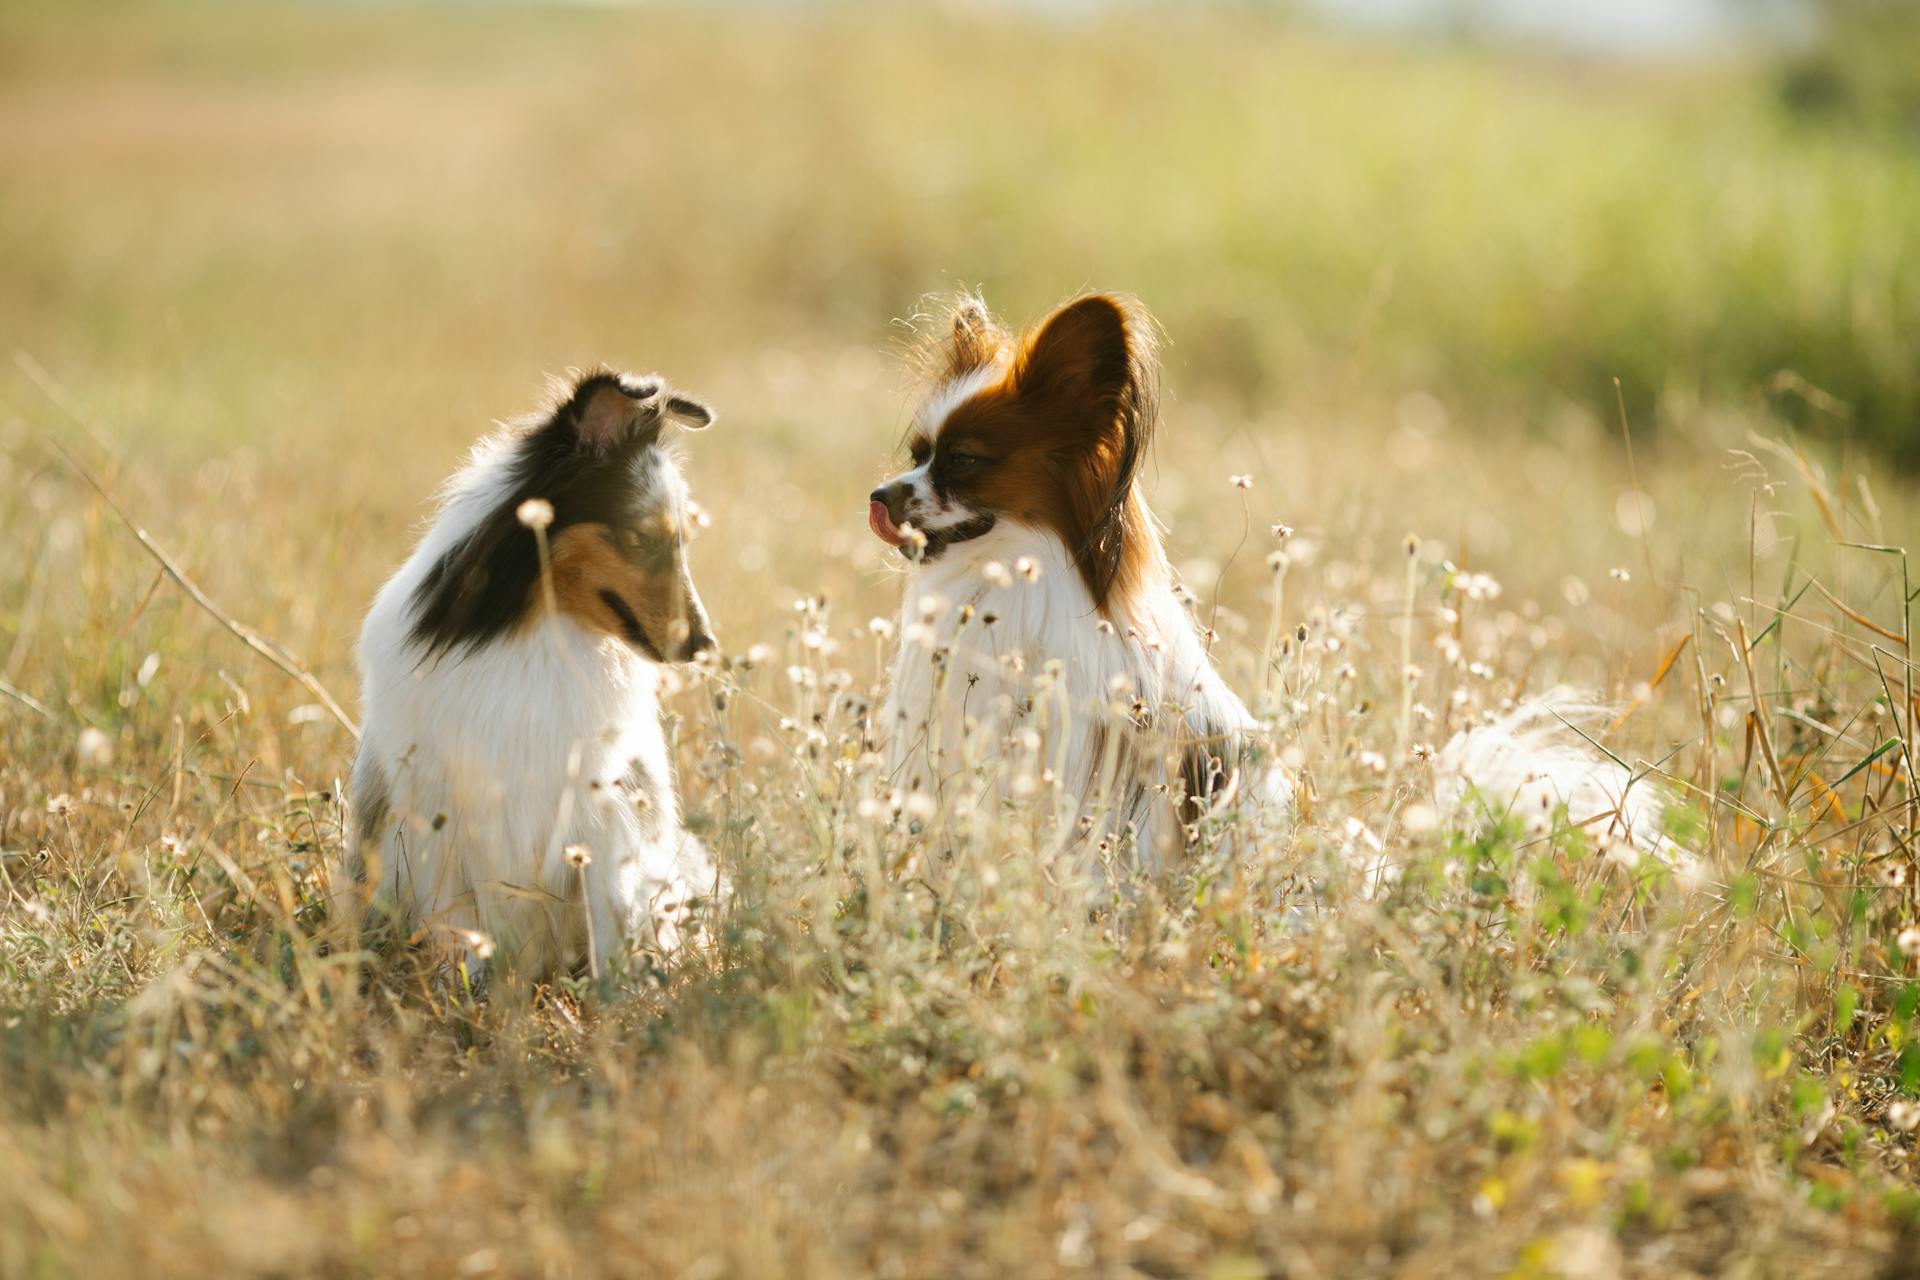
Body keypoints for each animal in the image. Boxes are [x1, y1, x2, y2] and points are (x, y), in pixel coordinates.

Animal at [351, 370, 721, 982]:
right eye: (642, 537)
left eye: (683, 542)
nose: (704, 645)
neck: (541, 631)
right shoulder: (439, 815)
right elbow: (456, 925)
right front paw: (464, 988)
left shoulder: (606, 811)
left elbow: (611, 922)